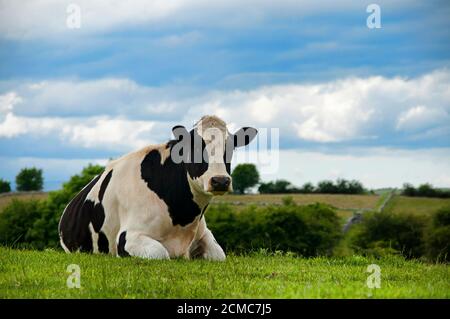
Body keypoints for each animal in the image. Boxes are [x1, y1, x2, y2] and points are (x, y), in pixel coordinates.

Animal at [58, 116, 258, 262]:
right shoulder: (129, 237)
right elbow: (161, 253)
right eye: (194, 147)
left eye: (231, 147)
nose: (220, 181)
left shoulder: (204, 234)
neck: (182, 218)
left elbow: (219, 254)